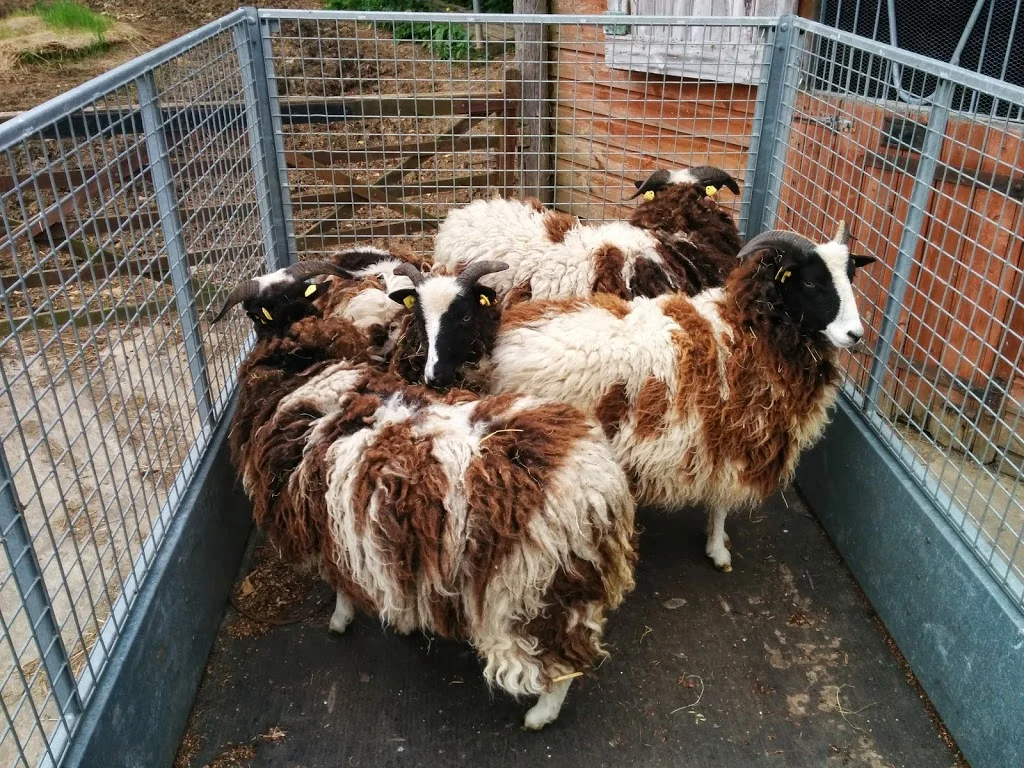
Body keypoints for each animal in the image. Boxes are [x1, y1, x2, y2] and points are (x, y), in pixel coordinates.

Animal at [228, 295, 637, 731]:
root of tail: (596, 480)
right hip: (570, 581)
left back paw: (540, 715)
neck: (316, 381)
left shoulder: (328, 529)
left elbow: (341, 585)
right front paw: (402, 621)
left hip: (523, 592)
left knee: (559, 662)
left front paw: (340, 620)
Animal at [388, 225, 877, 572]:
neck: (753, 330)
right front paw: (718, 549)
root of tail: (507, 340)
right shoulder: (735, 431)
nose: (856, 335)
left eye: (851, 276)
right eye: (811, 284)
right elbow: (721, 501)